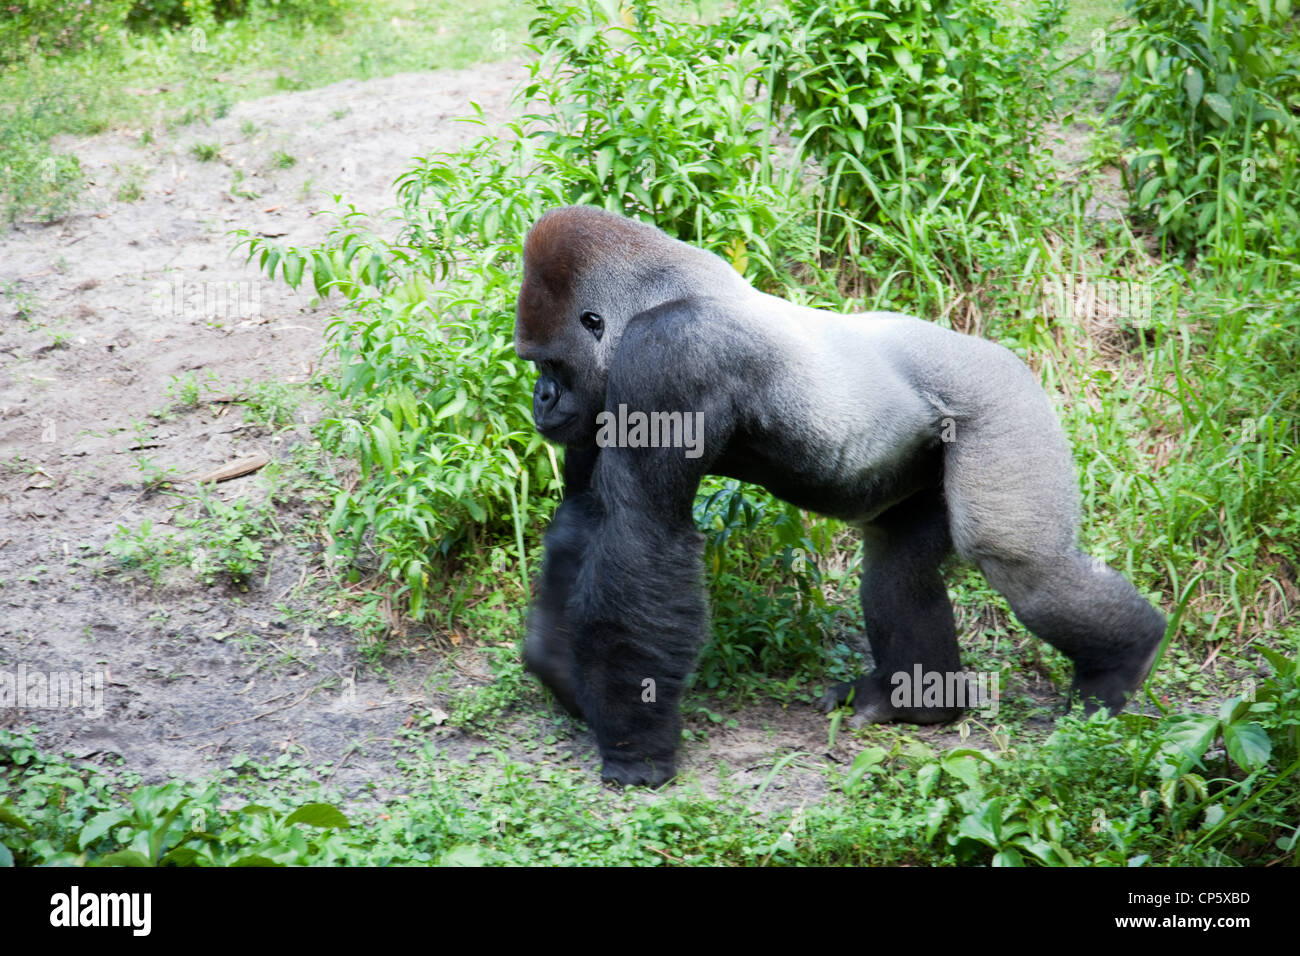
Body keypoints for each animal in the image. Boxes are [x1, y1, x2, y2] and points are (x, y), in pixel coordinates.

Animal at [509, 205, 1170, 790]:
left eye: (551, 365)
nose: (541, 399)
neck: (657, 295)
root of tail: (1006, 355)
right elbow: (588, 519)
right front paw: (561, 671)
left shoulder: (664, 359)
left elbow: (641, 535)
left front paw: (634, 747)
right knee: (899, 563)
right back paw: (918, 700)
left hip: (1004, 402)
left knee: (1020, 563)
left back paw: (1121, 659)